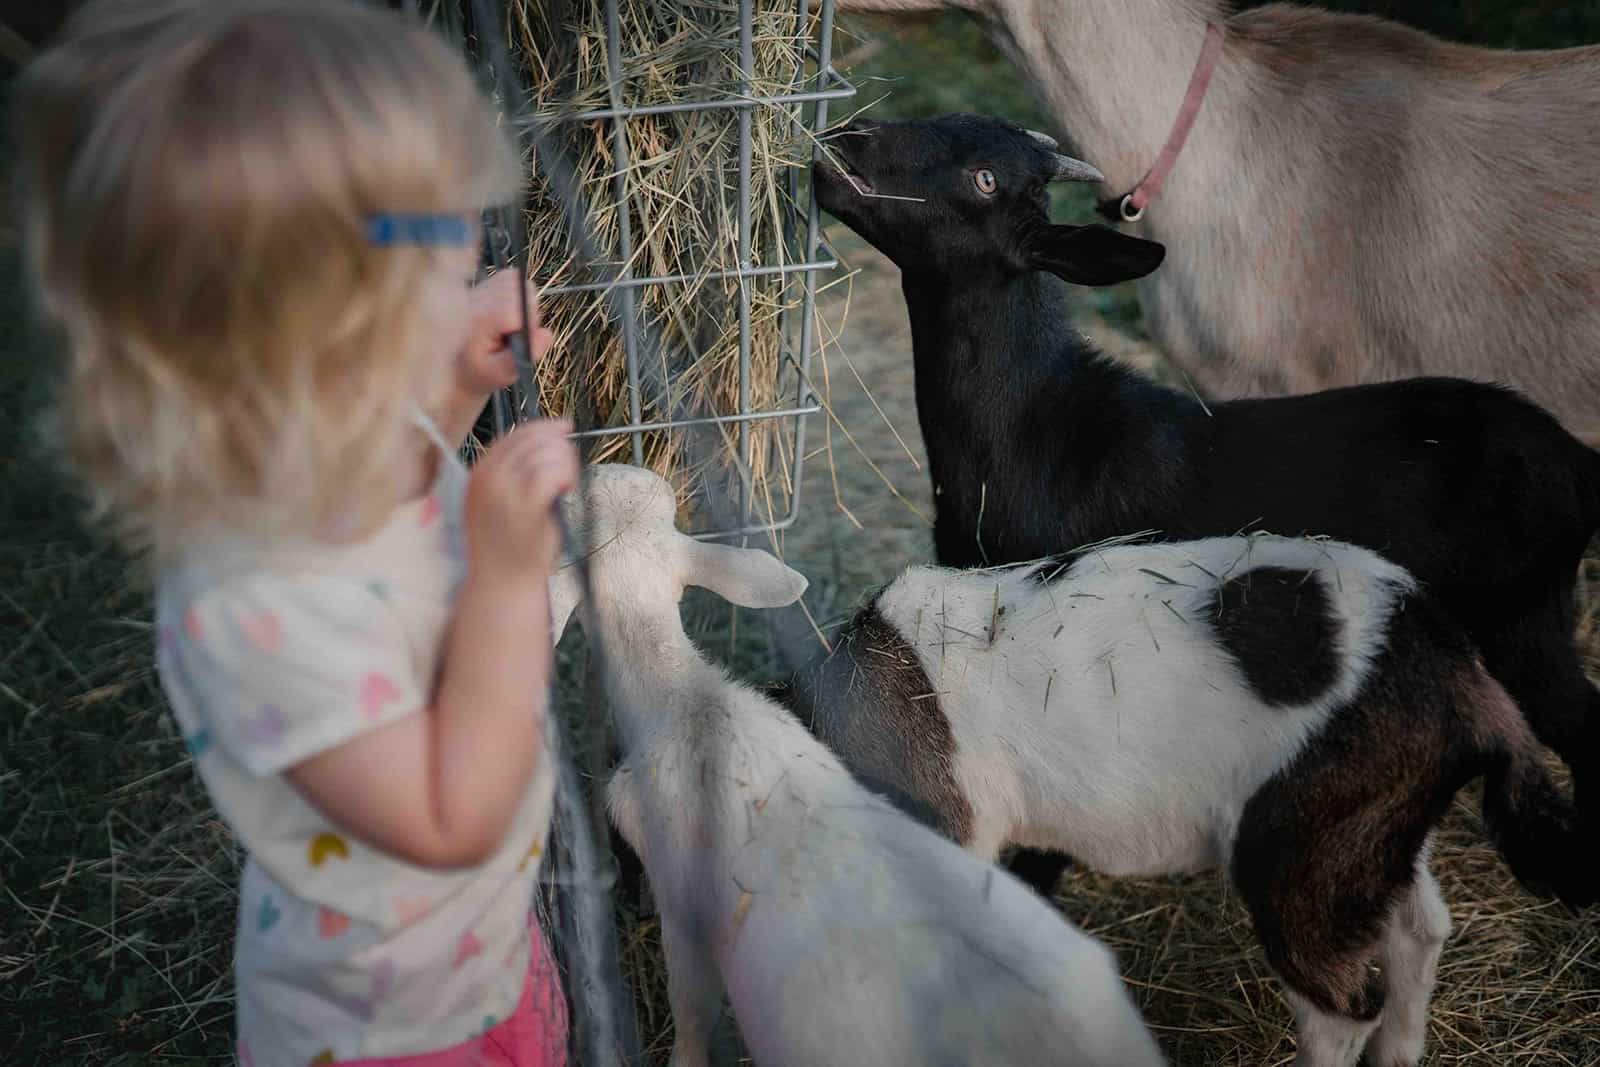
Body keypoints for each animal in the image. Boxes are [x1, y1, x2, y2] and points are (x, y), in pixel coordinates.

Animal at [787, 537, 1587, 1067]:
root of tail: (1463, 679)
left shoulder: (952, 828)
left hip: (1298, 850)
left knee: (1339, 1002)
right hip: (1370, 825)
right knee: (1419, 929)